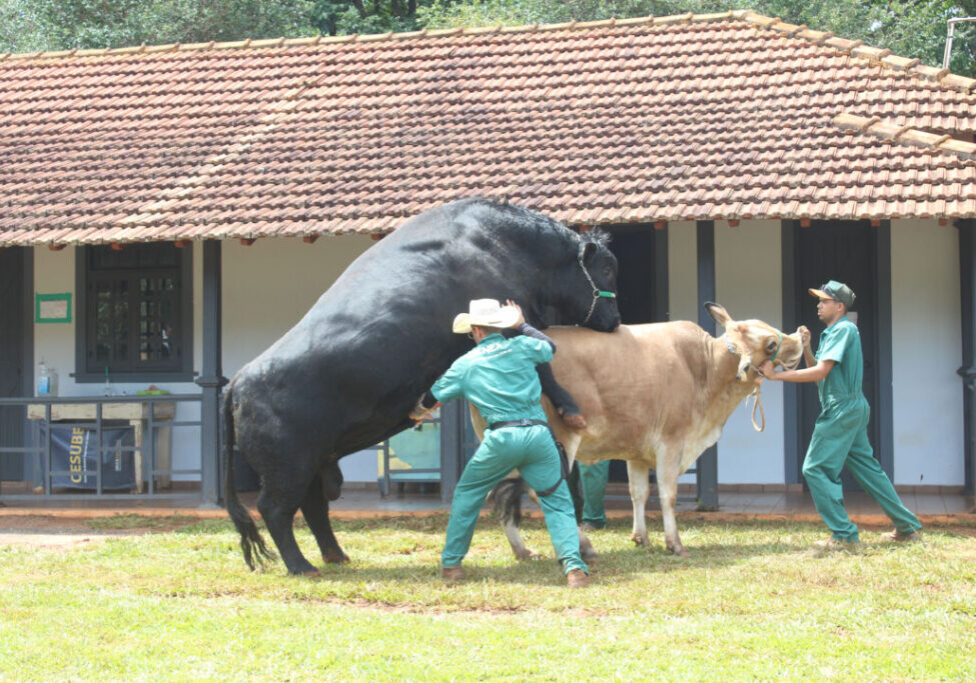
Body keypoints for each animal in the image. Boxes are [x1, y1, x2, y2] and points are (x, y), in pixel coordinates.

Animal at [223, 196, 616, 572]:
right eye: (608, 268)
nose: (615, 319)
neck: (504, 243)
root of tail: (240, 379)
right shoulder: (515, 326)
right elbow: (544, 370)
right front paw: (571, 409)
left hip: (314, 462)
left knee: (313, 505)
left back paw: (335, 556)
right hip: (288, 468)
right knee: (275, 509)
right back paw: (302, 566)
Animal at [476, 304, 804, 560]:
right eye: (771, 344)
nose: (802, 335)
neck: (705, 369)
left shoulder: (637, 452)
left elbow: (638, 493)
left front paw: (641, 538)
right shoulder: (671, 442)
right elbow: (668, 494)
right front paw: (675, 543)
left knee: (499, 495)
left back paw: (523, 551)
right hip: (555, 443)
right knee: (541, 493)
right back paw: (584, 546)